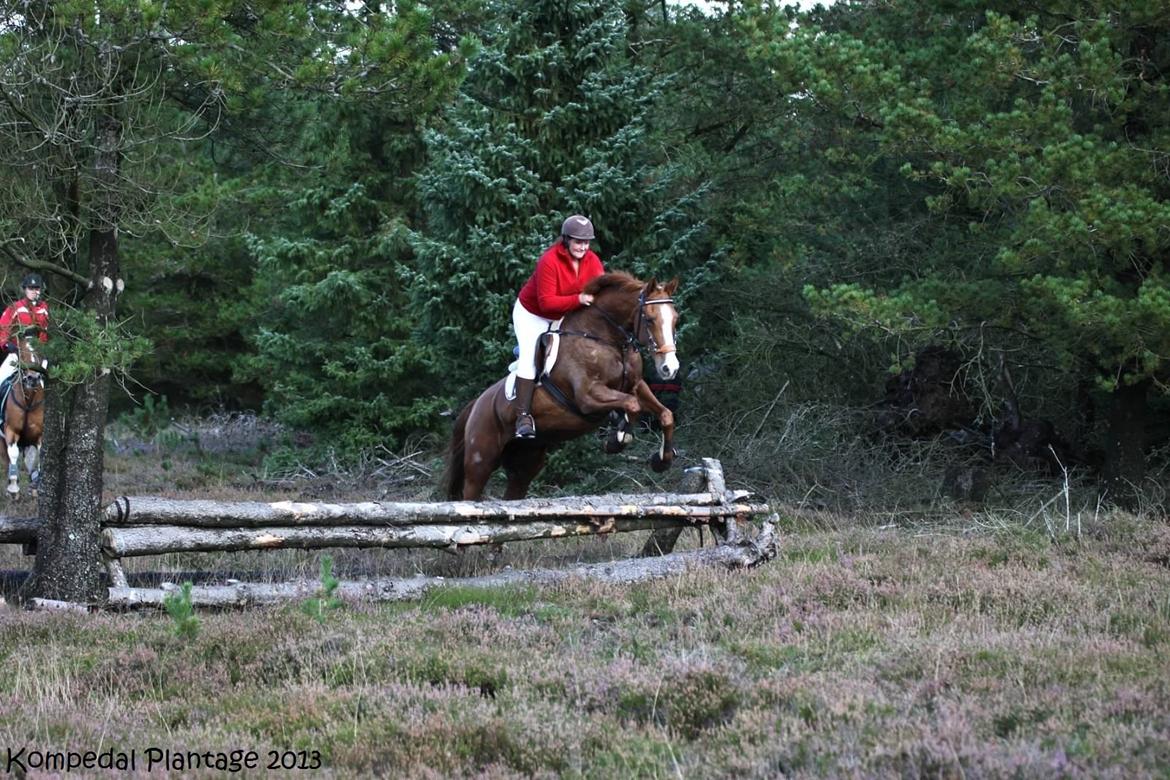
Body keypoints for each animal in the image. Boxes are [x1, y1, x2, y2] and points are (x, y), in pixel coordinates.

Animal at [0, 336, 45, 498]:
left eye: (39, 354)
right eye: (21, 354)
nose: (33, 378)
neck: (28, 402)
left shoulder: (39, 433)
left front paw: (36, 485)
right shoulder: (11, 430)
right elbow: (12, 454)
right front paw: (13, 487)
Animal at [442, 271, 683, 498]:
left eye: (675, 319)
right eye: (649, 319)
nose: (669, 368)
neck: (606, 339)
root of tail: (476, 404)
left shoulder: (635, 386)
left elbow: (665, 414)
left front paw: (661, 461)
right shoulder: (588, 396)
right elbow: (632, 405)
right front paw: (616, 441)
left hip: (525, 464)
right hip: (480, 462)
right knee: (470, 493)